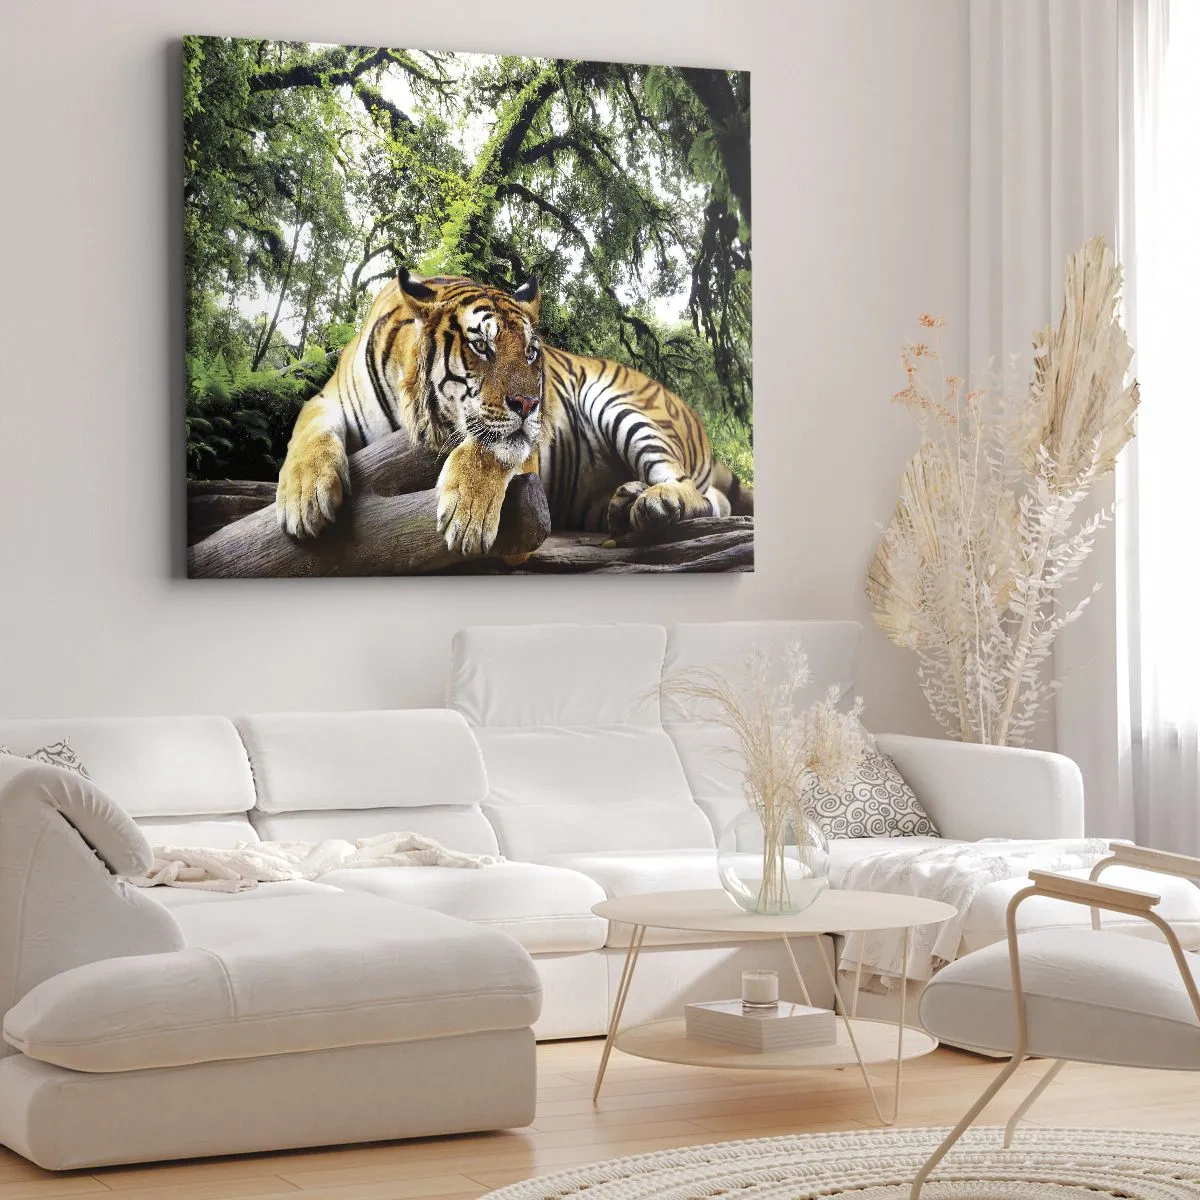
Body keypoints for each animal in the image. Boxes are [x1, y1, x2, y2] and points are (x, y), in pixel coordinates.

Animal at [275, 269, 753, 555]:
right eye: (481, 345)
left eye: (530, 352)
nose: (530, 403)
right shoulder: (326, 400)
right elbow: (308, 432)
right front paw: (304, 498)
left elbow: (490, 447)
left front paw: (467, 517)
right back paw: (625, 502)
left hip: (620, 404)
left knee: (703, 495)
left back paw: (656, 503)